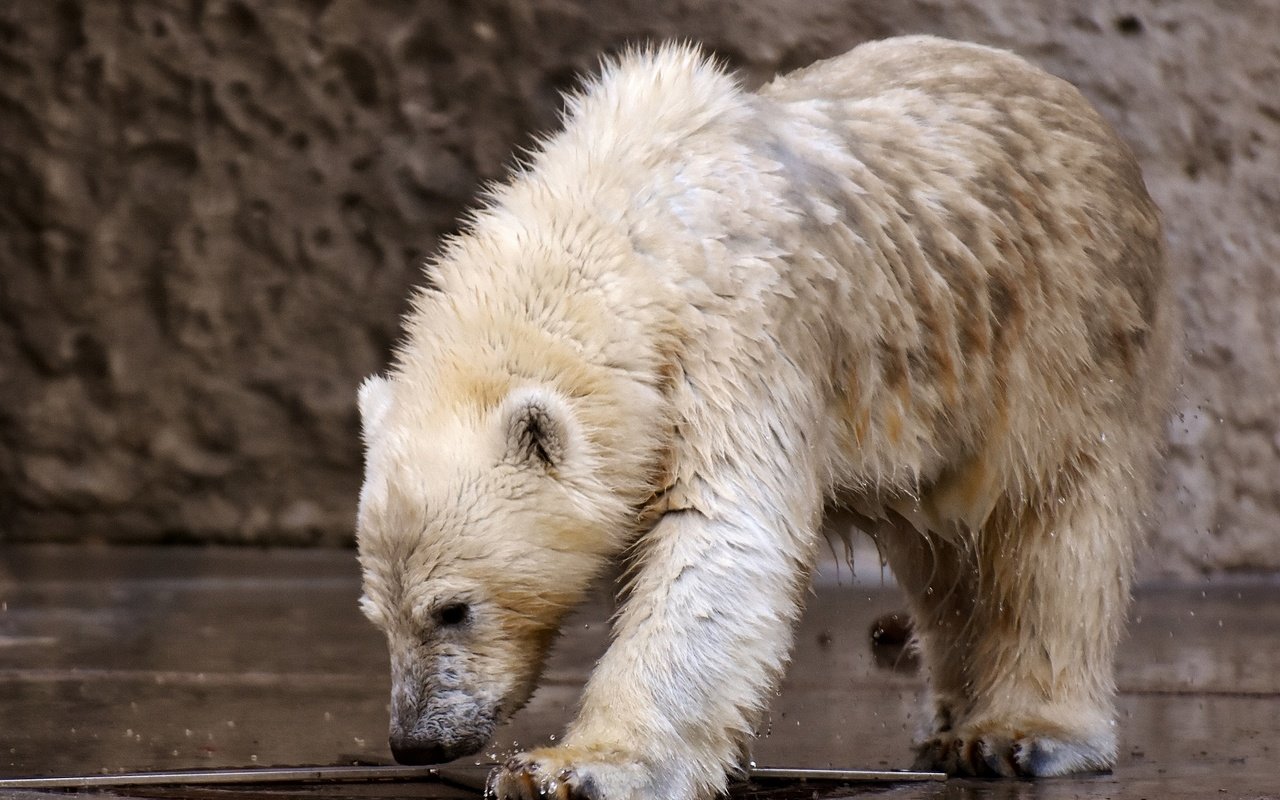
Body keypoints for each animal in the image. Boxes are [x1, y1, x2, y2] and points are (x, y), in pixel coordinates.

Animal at [350, 35, 1172, 798]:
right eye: (375, 613)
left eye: (453, 609)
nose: (415, 742)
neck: (624, 220)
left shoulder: (738, 338)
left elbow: (718, 539)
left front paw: (569, 768)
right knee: (941, 553)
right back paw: (951, 719)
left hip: (1055, 335)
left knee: (1047, 527)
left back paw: (1018, 734)